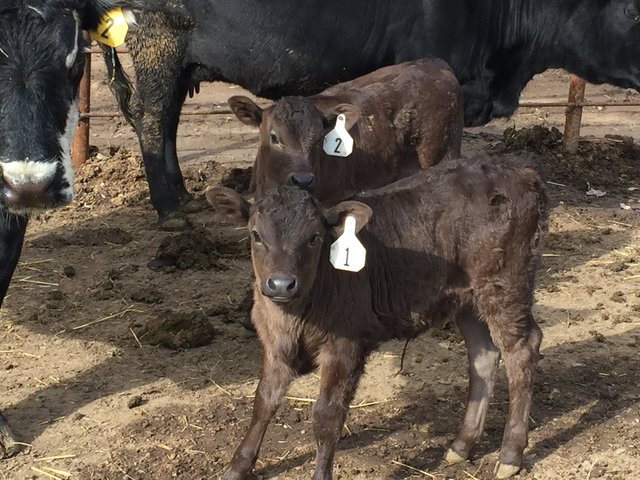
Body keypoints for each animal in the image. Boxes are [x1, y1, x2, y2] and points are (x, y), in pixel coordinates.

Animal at [205, 153, 549, 479]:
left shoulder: (345, 346)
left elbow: (326, 416)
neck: (296, 315)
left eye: (314, 237)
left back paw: (510, 454)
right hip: (466, 298)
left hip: (504, 285)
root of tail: (519, 168)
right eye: (256, 235)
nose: (280, 283)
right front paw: (236, 468)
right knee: (484, 355)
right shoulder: (275, 346)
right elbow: (263, 401)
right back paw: (462, 444)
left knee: (522, 349)